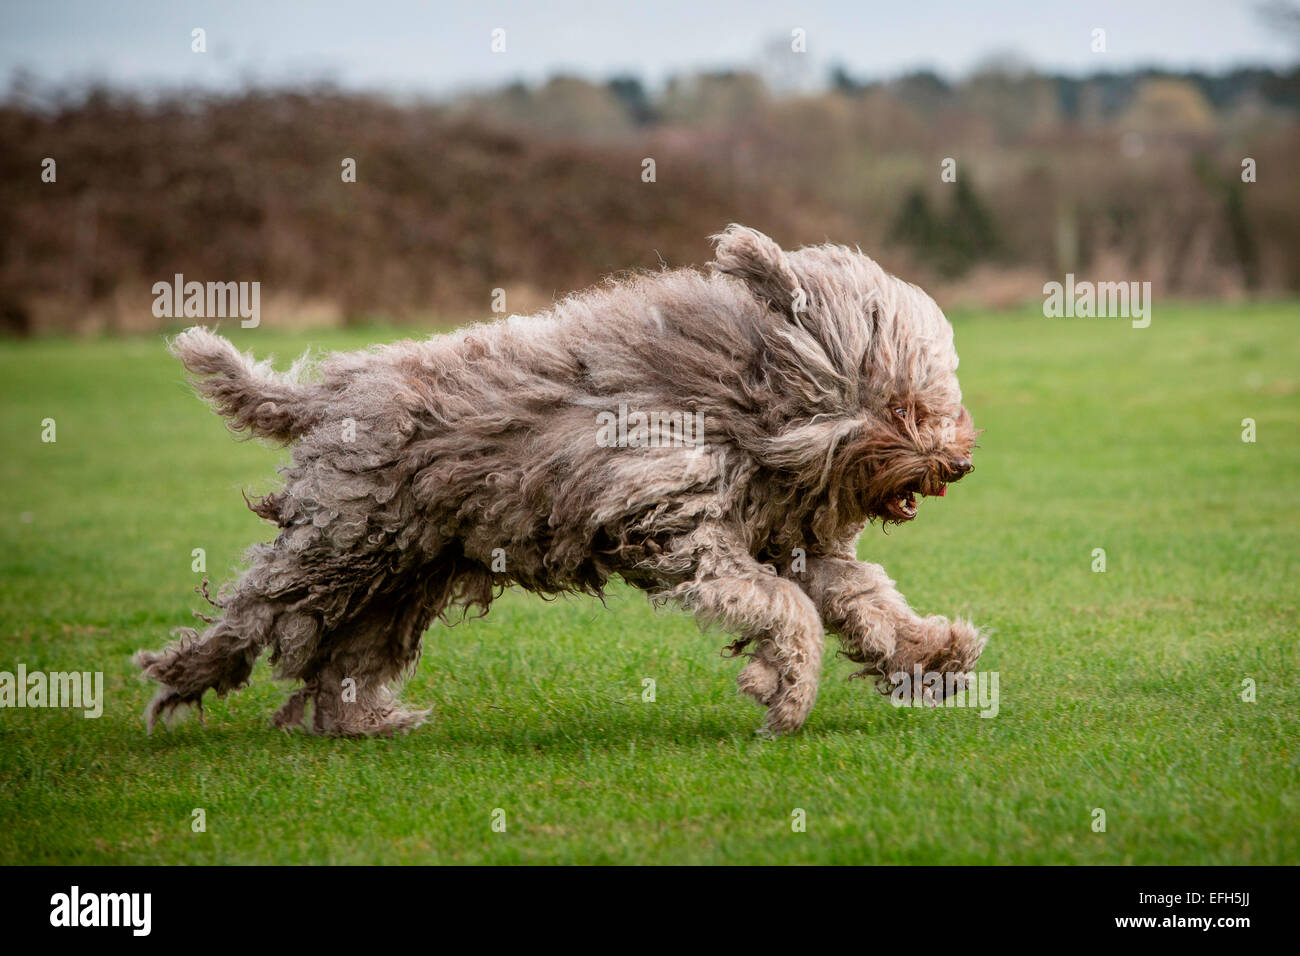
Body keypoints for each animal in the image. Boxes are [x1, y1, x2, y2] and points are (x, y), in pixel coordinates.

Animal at [134, 227, 982, 738]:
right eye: (905, 407)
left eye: (932, 402)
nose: (959, 463)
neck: (742, 399)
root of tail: (333, 390)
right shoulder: (676, 525)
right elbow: (787, 609)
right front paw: (789, 694)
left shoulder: (788, 534)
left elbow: (863, 600)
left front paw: (933, 652)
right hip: (343, 542)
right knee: (255, 609)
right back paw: (181, 675)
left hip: (404, 571)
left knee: (343, 658)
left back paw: (361, 723)